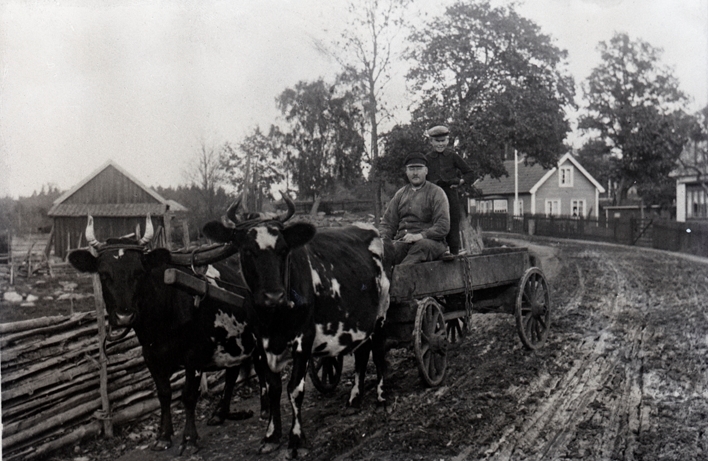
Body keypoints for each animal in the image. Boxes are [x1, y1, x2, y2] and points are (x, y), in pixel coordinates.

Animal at [67, 216, 268, 454]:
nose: (124, 316)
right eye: (104, 274)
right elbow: (164, 394)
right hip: (231, 342)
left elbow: (189, 395)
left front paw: (189, 438)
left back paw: (266, 410)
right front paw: (163, 436)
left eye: (139, 273)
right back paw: (220, 414)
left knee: (262, 369)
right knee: (232, 373)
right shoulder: (151, 357)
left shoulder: (194, 356)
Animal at [203, 196, 393, 458]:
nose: (274, 296)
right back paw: (354, 401)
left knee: (379, 351)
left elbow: (295, 389)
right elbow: (273, 387)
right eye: (247, 250)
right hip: (359, 321)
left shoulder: (304, 338)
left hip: (382, 312)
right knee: (363, 354)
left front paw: (296, 440)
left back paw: (382, 398)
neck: (273, 319)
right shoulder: (261, 343)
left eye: (284, 250)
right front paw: (271, 436)